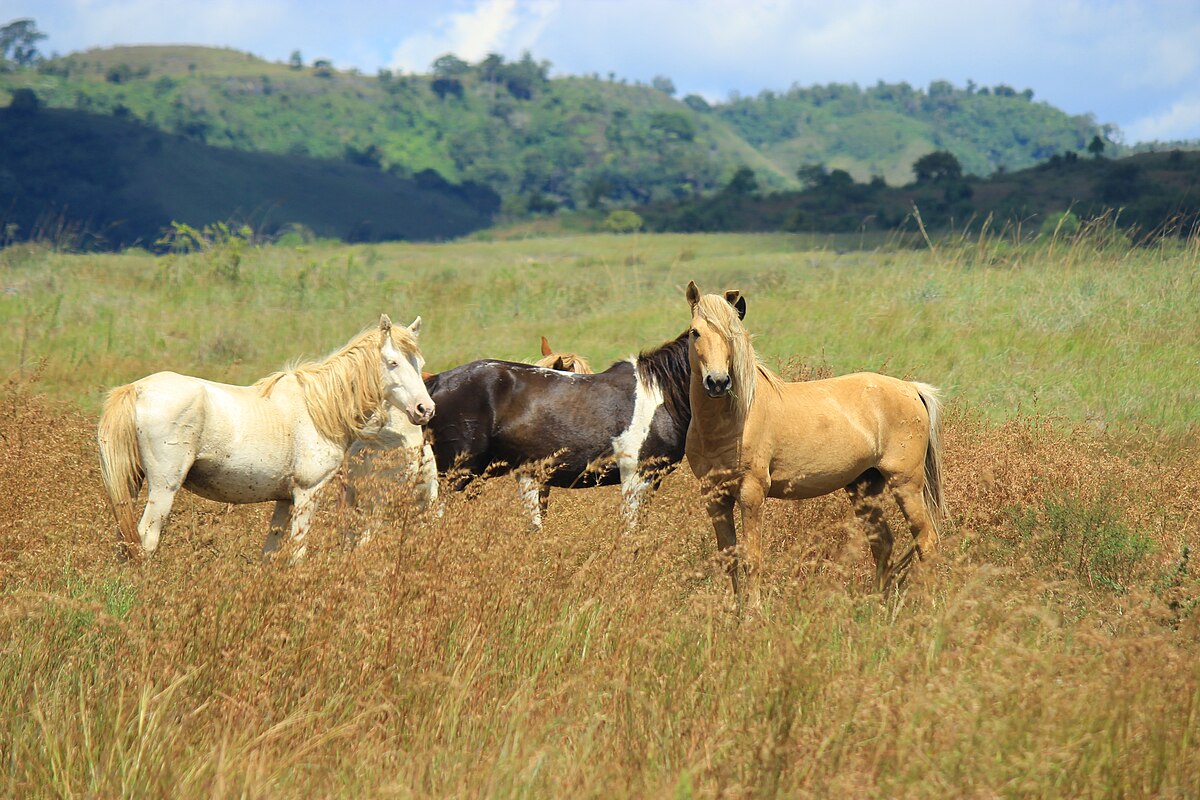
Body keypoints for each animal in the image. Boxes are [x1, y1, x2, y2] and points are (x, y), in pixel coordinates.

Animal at [97, 315, 434, 560]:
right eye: (393, 362)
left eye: (420, 364)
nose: (425, 409)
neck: (320, 408)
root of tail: (137, 389)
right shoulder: (307, 493)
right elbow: (297, 551)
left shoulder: (285, 500)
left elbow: (270, 553)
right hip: (164, 488)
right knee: (145, 538)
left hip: (131, 485)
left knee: (125, 540)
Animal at [683, 281, 945, 596]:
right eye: (695, 332)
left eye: (731, 334)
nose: (718, 382)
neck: (733, 421)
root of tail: (911, 388)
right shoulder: (714, 496)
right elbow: (729, 559)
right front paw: (735, 607)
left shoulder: (751, 492)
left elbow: (752, 559)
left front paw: (753, 608)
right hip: (864, 488)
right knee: (883, 544)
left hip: (906, 485)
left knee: (926, 542)